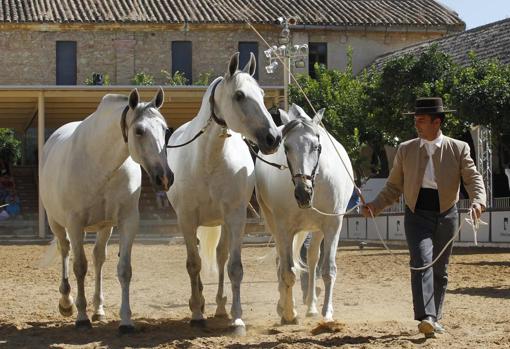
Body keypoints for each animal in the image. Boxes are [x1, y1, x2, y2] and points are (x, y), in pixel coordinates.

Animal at [40, 87, 172, 332]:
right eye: (139, 131)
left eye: (165, 130)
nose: (165, 178)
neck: (102, 164)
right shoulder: (75, 223)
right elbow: (79, 267)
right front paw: (81, 317)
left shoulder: (128, 221)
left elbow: (124, 269)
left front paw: (126, 321)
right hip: (57, 223)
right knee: (65, 250)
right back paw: (66, 303)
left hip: (104, 227)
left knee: (98, 258)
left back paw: (98, 309)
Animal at [166, 51, 278, 332]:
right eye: (239, 95)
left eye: (262, 93)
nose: (273, 138)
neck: (208, 159)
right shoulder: (186, 218)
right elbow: (193, 264)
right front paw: (197, 313)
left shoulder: (236, 217)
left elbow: (234, 266)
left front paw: (237, 318)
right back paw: (200, 303)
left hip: (223, 222)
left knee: (220, 257)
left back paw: (219, 306)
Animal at [256, 103, 352, 324]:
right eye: (286, 148)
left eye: (316, 147)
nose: (303, 192)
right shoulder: (284, 228)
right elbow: (288, 272)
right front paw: (289, 314)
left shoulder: (333, 225)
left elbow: (328, 270)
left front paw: (327, 313)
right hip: (274, 225)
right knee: (281, 262)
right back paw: (283, 306)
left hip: (316, 229)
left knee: (312, 259)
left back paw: (311, 307)